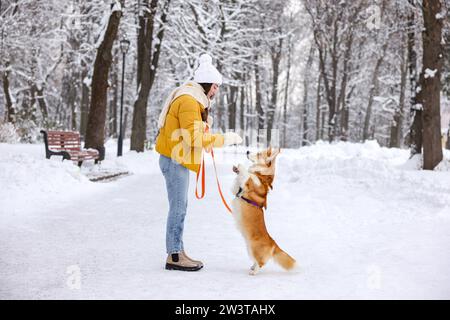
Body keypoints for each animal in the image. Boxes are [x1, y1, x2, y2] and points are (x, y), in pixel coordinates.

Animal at [232, 148, 296, 276]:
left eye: (258, 154)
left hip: (254, 248)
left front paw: (241, 167)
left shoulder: (250, 182)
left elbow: (247, 174)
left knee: (261, 263)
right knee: (257, 261)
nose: (247, 151)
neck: (261, 175)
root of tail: (273, 243)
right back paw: (253, 267)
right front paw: (236, 169)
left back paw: (254, 272)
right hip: (249, 248)